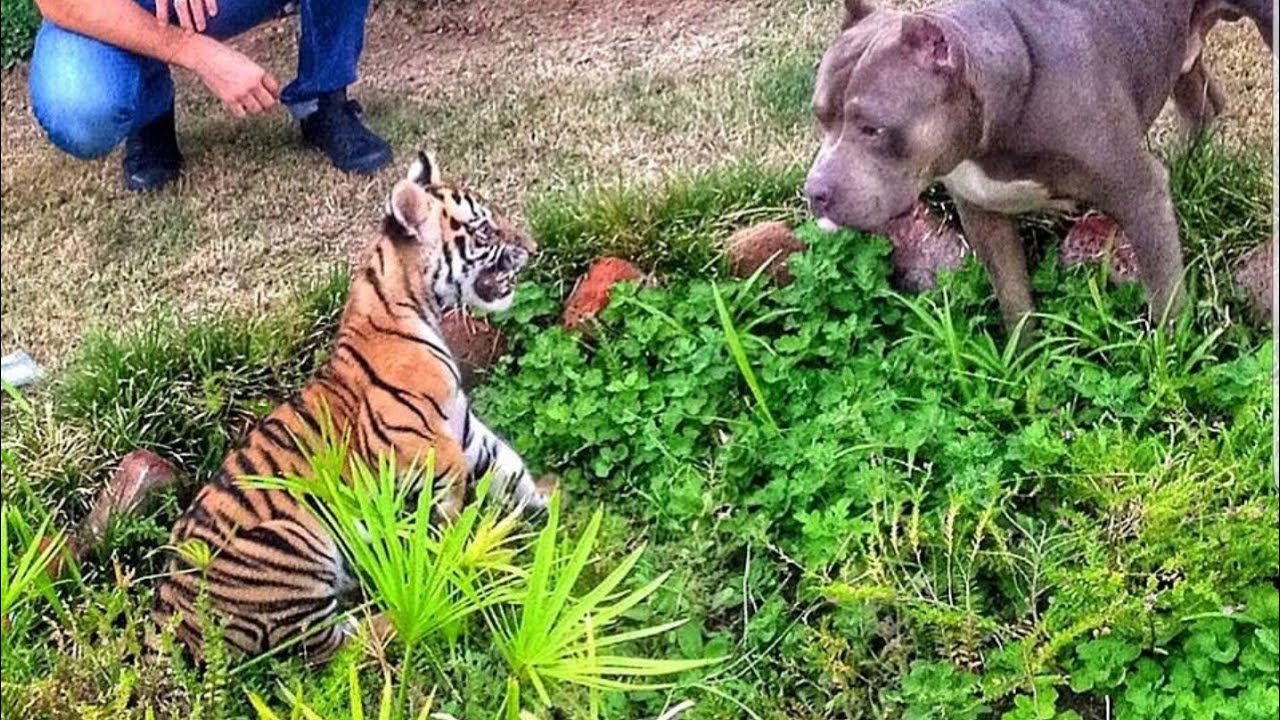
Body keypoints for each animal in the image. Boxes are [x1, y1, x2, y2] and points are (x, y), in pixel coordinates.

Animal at [153, 151, 549, 662]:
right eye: (483, 230)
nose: (533, 248)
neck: (417, 308)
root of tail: (166, 617)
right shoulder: (406, 444)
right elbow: (456, 478)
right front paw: (455, 538)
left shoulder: (465, 429)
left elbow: (510, 468)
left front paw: (553, 514)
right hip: (290, 541)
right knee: (329, 647)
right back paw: (408, 614)